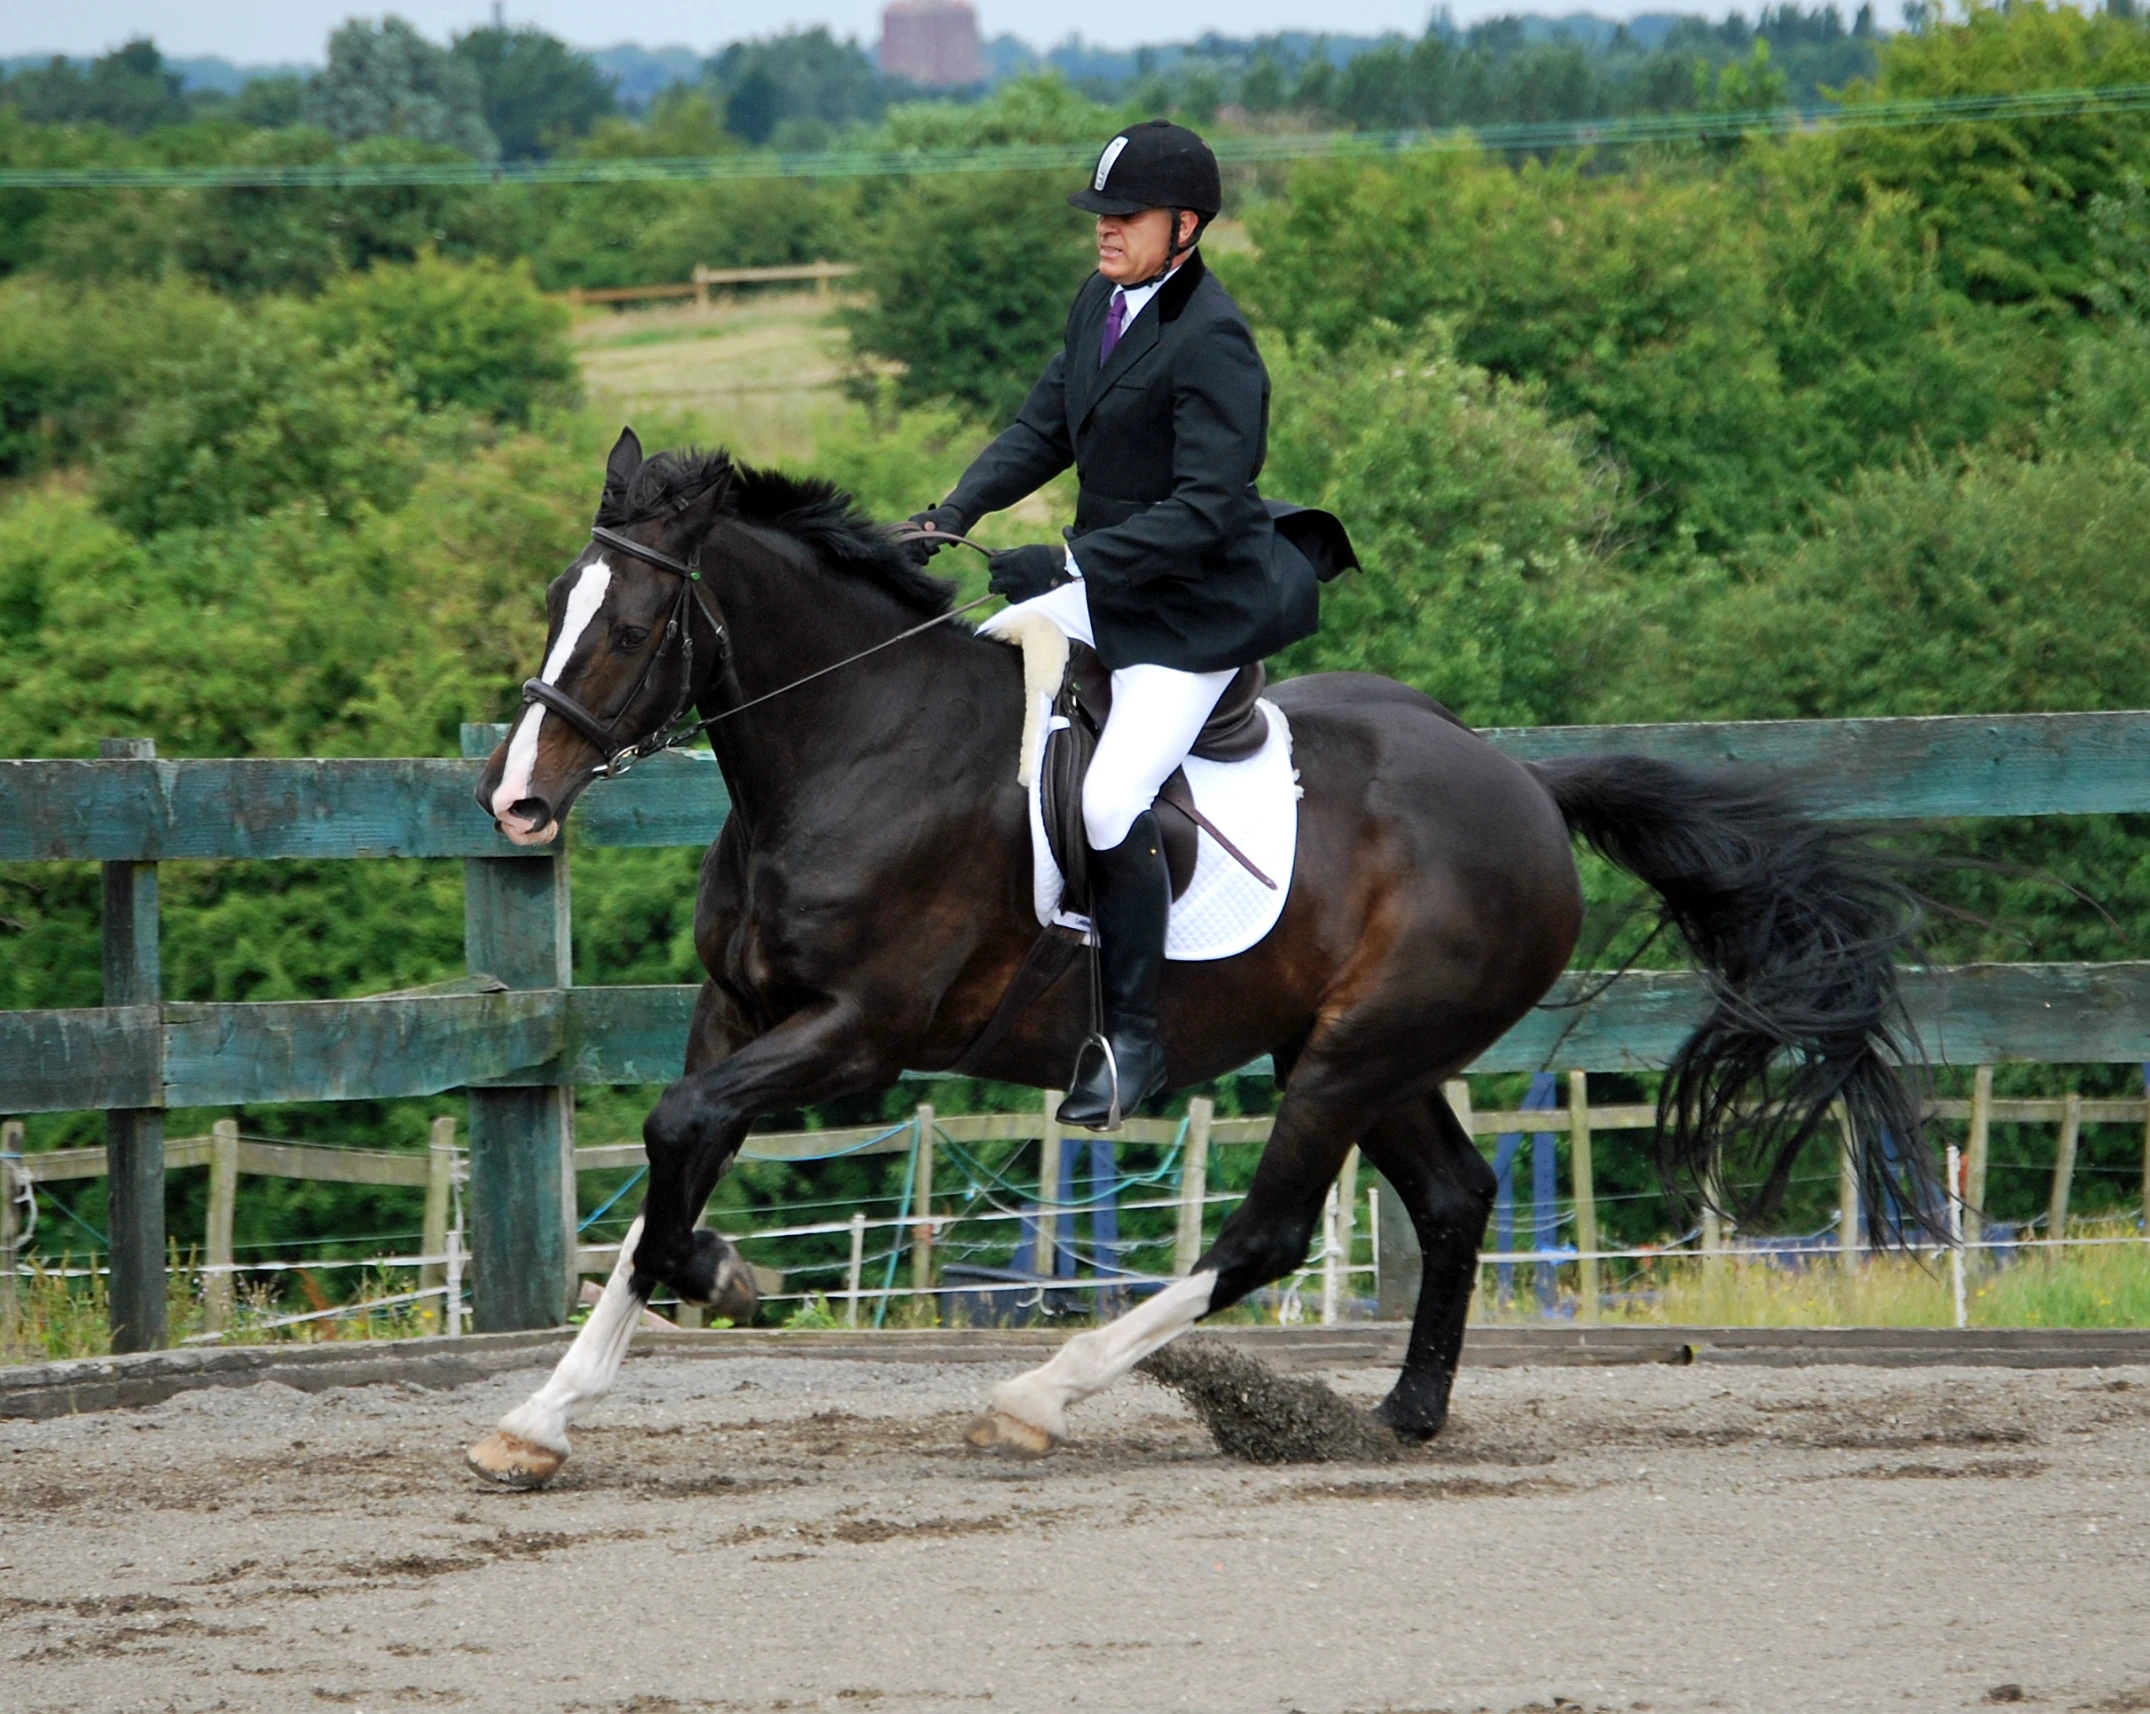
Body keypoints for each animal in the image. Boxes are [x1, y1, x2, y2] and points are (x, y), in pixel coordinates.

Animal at [462, 427, 1926, 1488]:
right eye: (551, 604)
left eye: (633, 626)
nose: (517, 803)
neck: (852, 746)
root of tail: (1524, 784)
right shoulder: (735, 1010)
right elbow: (672, 1162)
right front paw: (552, 1405)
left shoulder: (859, 1032)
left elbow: (677, 1133)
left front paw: (687, 1298)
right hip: (1366, 1054)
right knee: (1452, 1200)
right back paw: (1396, 1416)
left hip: (1350, 1058)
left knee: (1269, 1230)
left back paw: (1040, 1395)